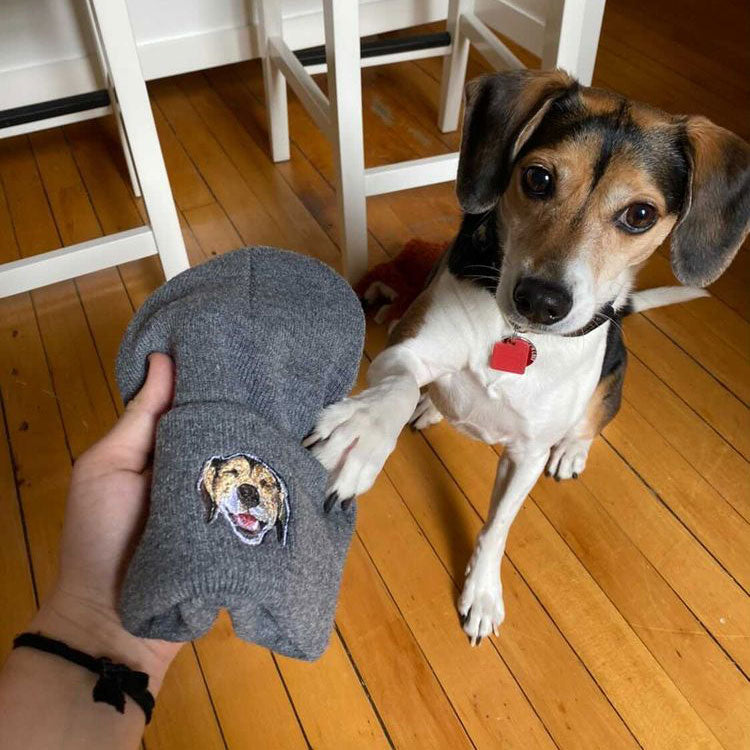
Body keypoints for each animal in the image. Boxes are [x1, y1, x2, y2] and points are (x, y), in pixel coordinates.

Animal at [306, 72, 750, 648]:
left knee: (591, 422)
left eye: (640, 215)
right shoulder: (406, 346)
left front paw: (482, 592)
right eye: (538, 179)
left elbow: (498, 525)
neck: (519, 339)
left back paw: (573, 450)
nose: (541, 299)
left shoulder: (527, 454)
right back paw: (429, 408)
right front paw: (362, 434)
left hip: (611, 380)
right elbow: (397, 388)